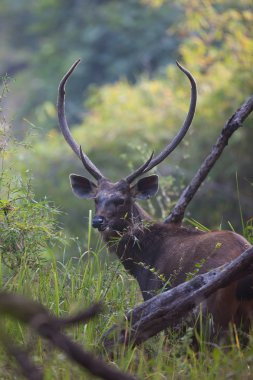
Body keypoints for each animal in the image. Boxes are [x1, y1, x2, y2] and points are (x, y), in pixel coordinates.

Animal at [57, 59, 253, 332]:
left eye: (122, 200)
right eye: (96, 199)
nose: (98, 221)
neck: (142, 260)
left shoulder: (156, 298)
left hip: (214, 316)